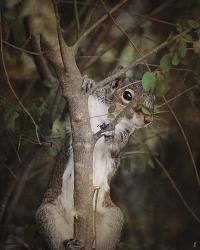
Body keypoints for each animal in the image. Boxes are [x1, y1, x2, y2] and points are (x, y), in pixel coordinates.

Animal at [35, 71, 155, 250]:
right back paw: (70, 245)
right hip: (48, 216)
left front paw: (117, 138)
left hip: (113, 219)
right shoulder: (79, 112)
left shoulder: (122, 139)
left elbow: (115, 151)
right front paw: (88, 82)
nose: (148, 119)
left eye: (153, 101)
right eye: (127, 95)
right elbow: (66, 116)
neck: (109, 117)